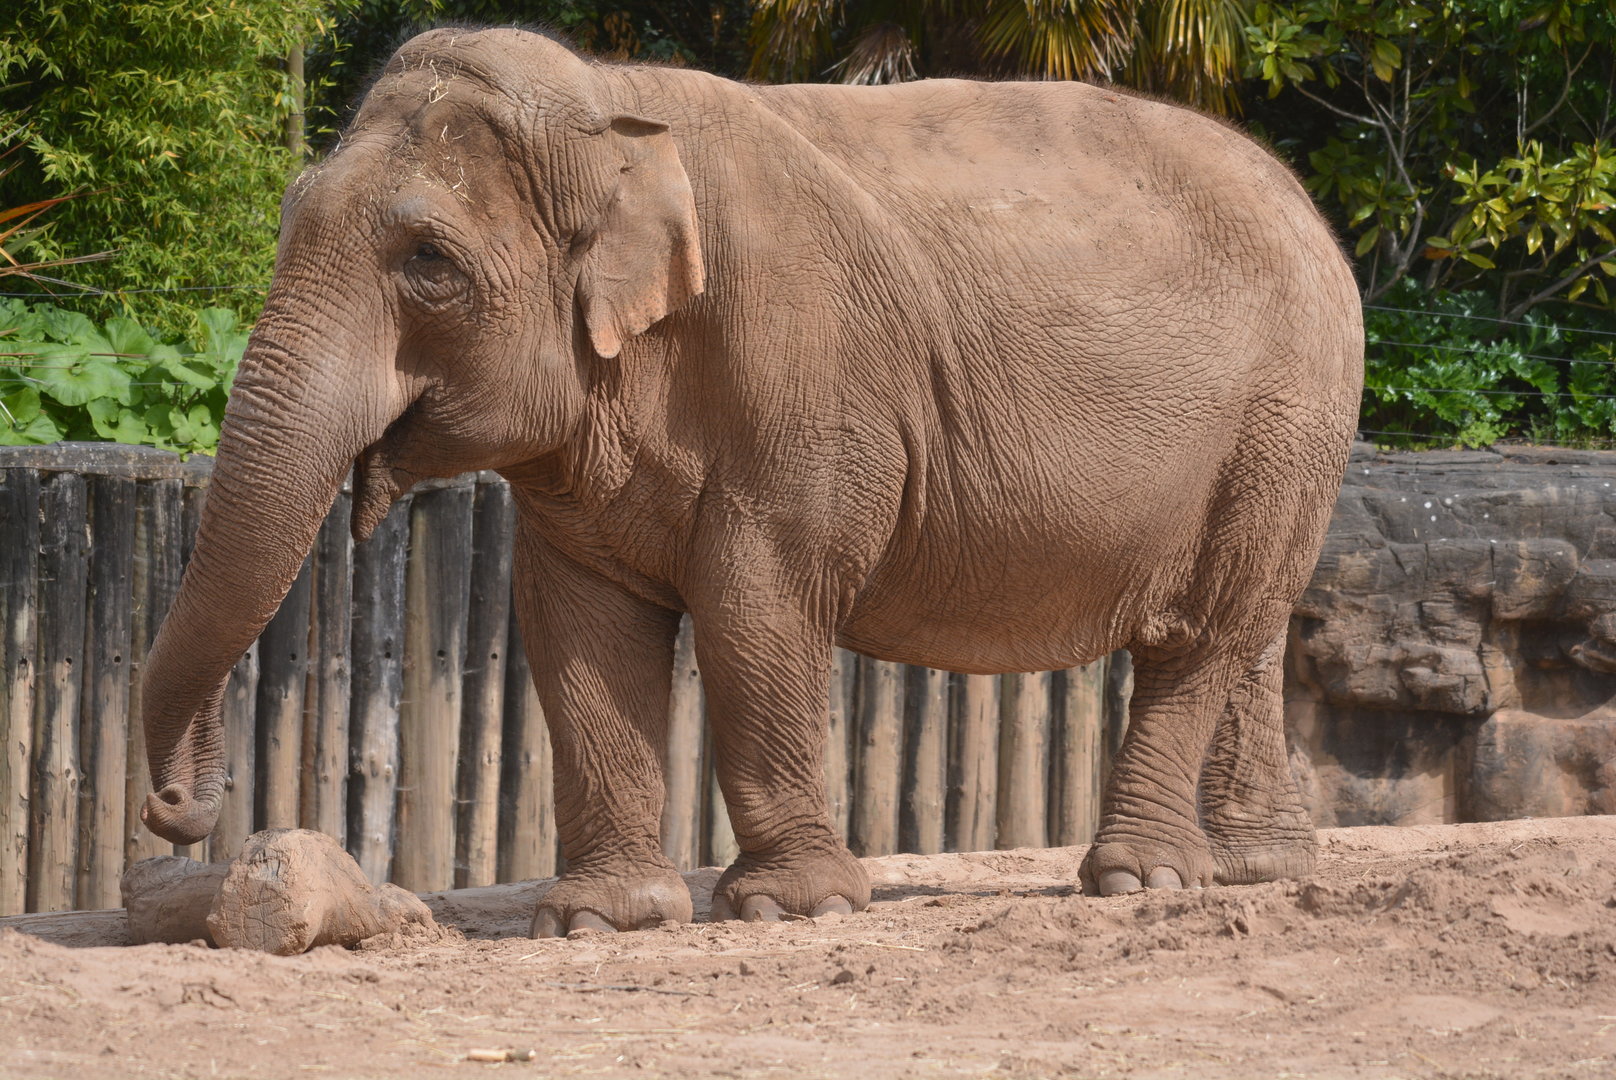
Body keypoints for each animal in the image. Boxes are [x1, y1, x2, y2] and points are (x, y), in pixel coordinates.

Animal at [137, 26, 1364, 936]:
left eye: (428, 264)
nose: (175, 811)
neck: (613, 113)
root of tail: (1309, 208)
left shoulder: (805, 375)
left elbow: (755, 602)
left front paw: (791, 909)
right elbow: (576, 621)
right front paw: (605, 919)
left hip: (1286, 411)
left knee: (1197, 635)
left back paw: (1140, 882)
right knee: (1247, 630)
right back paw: (1254, 870)